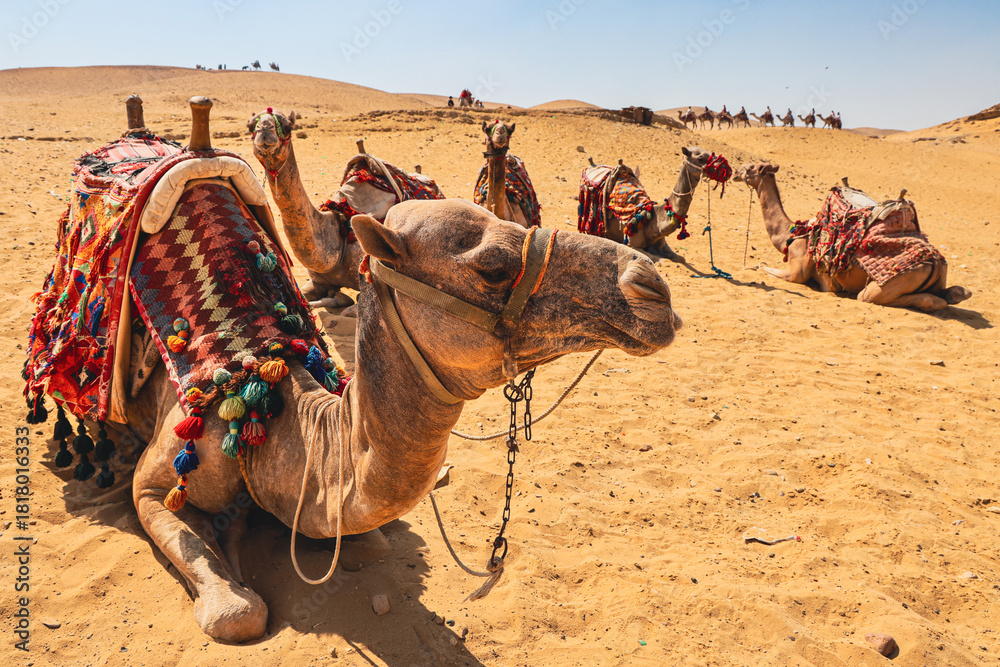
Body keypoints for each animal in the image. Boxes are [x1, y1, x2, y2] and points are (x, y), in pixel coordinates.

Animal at [732, 163, 972, 312]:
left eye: (751, 167)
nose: (736, 170)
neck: (792, 234)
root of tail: (935, 261)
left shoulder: (796, 273)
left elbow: (766, 268)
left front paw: (757, 266)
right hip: (939, 275)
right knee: (954, 293)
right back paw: (957, 294)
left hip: (897, 279)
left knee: (871, 297)